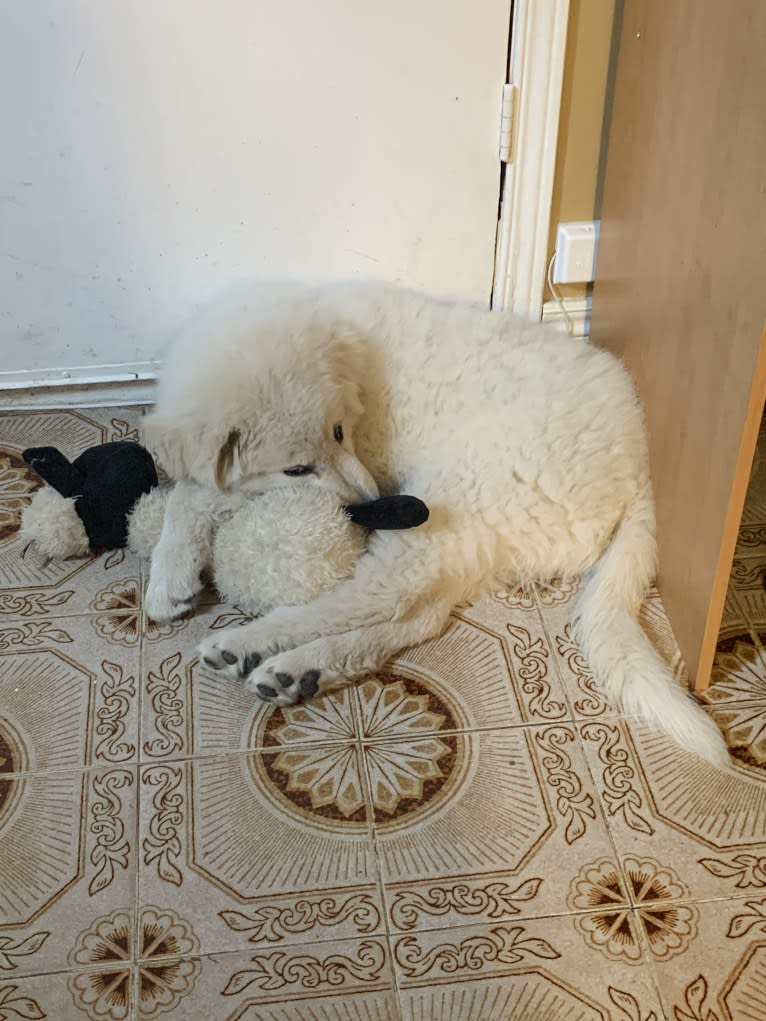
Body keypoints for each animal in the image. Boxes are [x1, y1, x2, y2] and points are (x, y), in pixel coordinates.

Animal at [145, 279, 731, 767]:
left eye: (339, 431)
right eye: (296, 466)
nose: (374, 503)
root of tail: (640, 466)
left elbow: (193, 494)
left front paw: (165, 579)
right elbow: (195, 491)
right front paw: (172, 577)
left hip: (462, 493)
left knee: (381, 593)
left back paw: (254, 644)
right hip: (483, 535)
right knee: (422, 616)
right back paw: (306, 669)